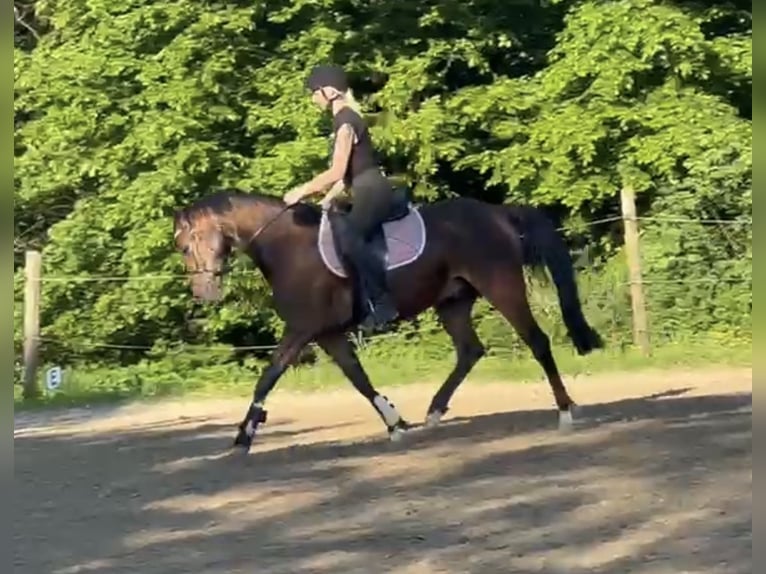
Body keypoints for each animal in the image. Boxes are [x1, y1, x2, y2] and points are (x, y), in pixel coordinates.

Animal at [174, 189, 608, 454]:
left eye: (185, 245)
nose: (203, 294)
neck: (288, 246)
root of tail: (496, 212)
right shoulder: (329, 334)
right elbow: (359, 379)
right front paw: (396, 424)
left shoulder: (302, 330)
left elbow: (268, 377)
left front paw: (243, 436)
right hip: (453, 301)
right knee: (470, 351)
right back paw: (434, 412)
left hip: (501, 287)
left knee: (537, 341)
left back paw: (565, 413)